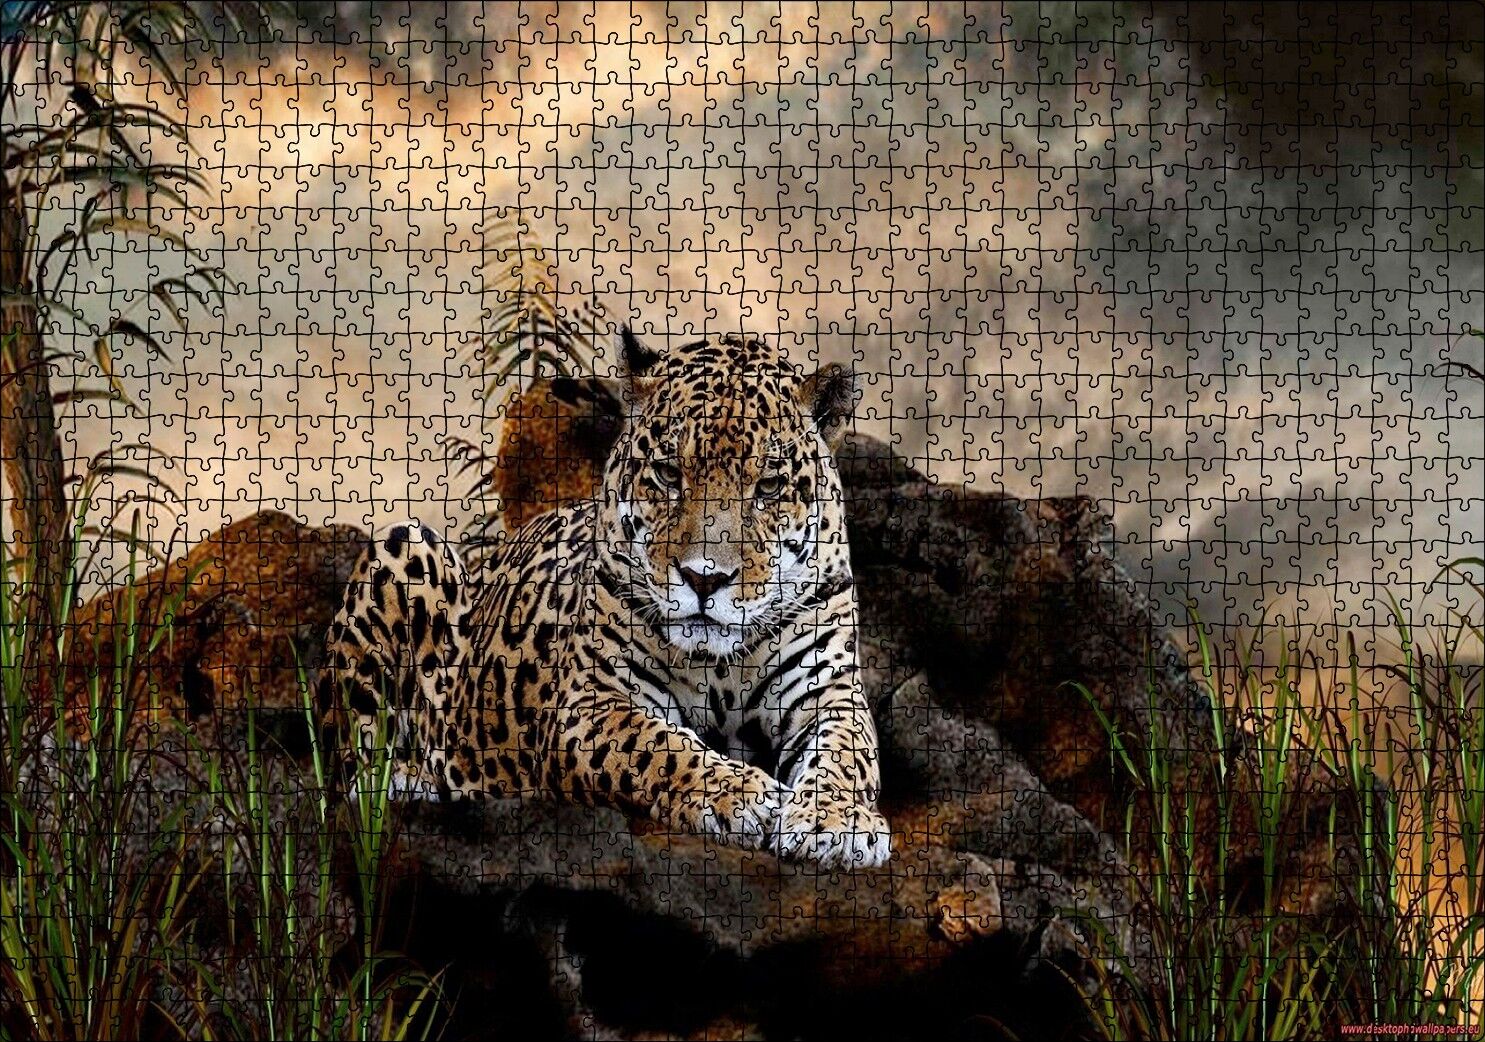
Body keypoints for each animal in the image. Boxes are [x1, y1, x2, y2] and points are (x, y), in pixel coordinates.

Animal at [317, 329, 890, 868]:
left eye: (769, 487)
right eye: (668, 474)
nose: (704, 579)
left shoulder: (829, 692)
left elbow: (847, 755)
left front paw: (837, 823)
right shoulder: (593, 702)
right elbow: (661, 746)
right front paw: (739, 794)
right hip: (403, 546)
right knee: (350, 768)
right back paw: (410, 780)